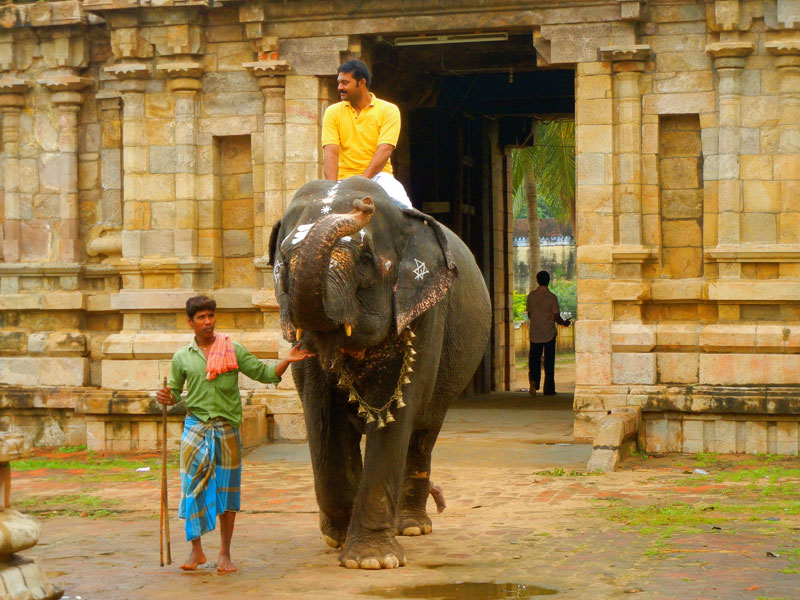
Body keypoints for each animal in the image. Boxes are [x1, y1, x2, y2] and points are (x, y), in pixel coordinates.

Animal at [270, 177, 494, 568]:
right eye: (283, 260)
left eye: (364, 259)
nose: (363, 205)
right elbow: (321, 413)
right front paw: (338, 538)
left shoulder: (424, 313)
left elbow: (397, 412)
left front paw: (371, 560)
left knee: (423, 432)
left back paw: (413, 527)